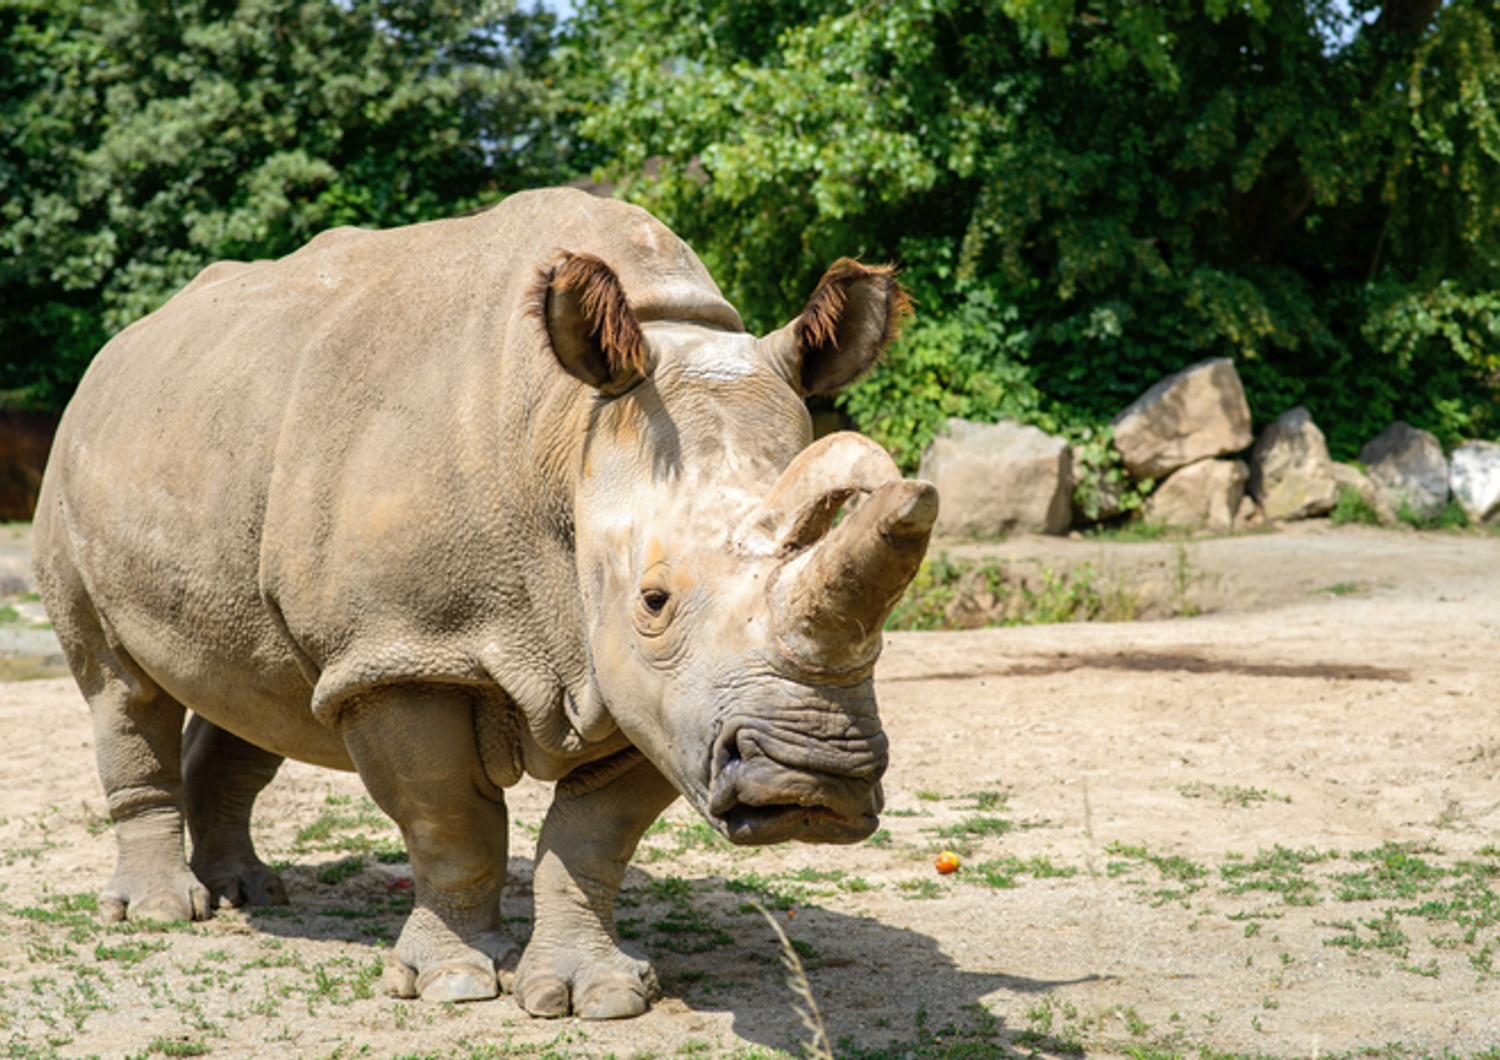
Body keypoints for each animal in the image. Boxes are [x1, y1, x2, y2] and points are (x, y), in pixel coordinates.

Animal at [35, 188, 936, 1019]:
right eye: (654, 600)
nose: (815, 778)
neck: (568, 433)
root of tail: (116, 353)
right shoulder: (404, 650)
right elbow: (449, 822)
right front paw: (455, 983)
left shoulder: (644, 688)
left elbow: (592, 838)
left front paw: (595, 996)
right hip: (76, 467)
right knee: (121, 689)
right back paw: (160, 913)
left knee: (261, 691)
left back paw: (249, 893)